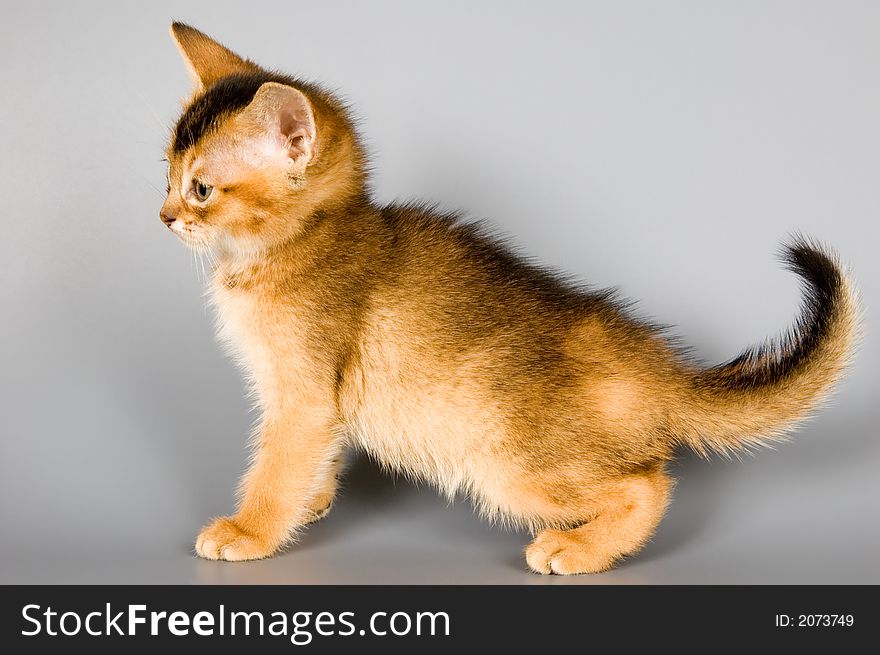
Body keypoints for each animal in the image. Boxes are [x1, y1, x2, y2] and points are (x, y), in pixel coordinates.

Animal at [160, 23, 860, 576]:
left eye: (202, 189)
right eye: (165, 175)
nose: (164, 216)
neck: (299, 240)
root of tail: (658, 368)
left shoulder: (302, 392)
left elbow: (276, 465)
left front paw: (250, 530)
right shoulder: (319, 406)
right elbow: (313, 458)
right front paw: (314, 501)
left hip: (507, 465)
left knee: (647, 484)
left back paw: (577, 550)